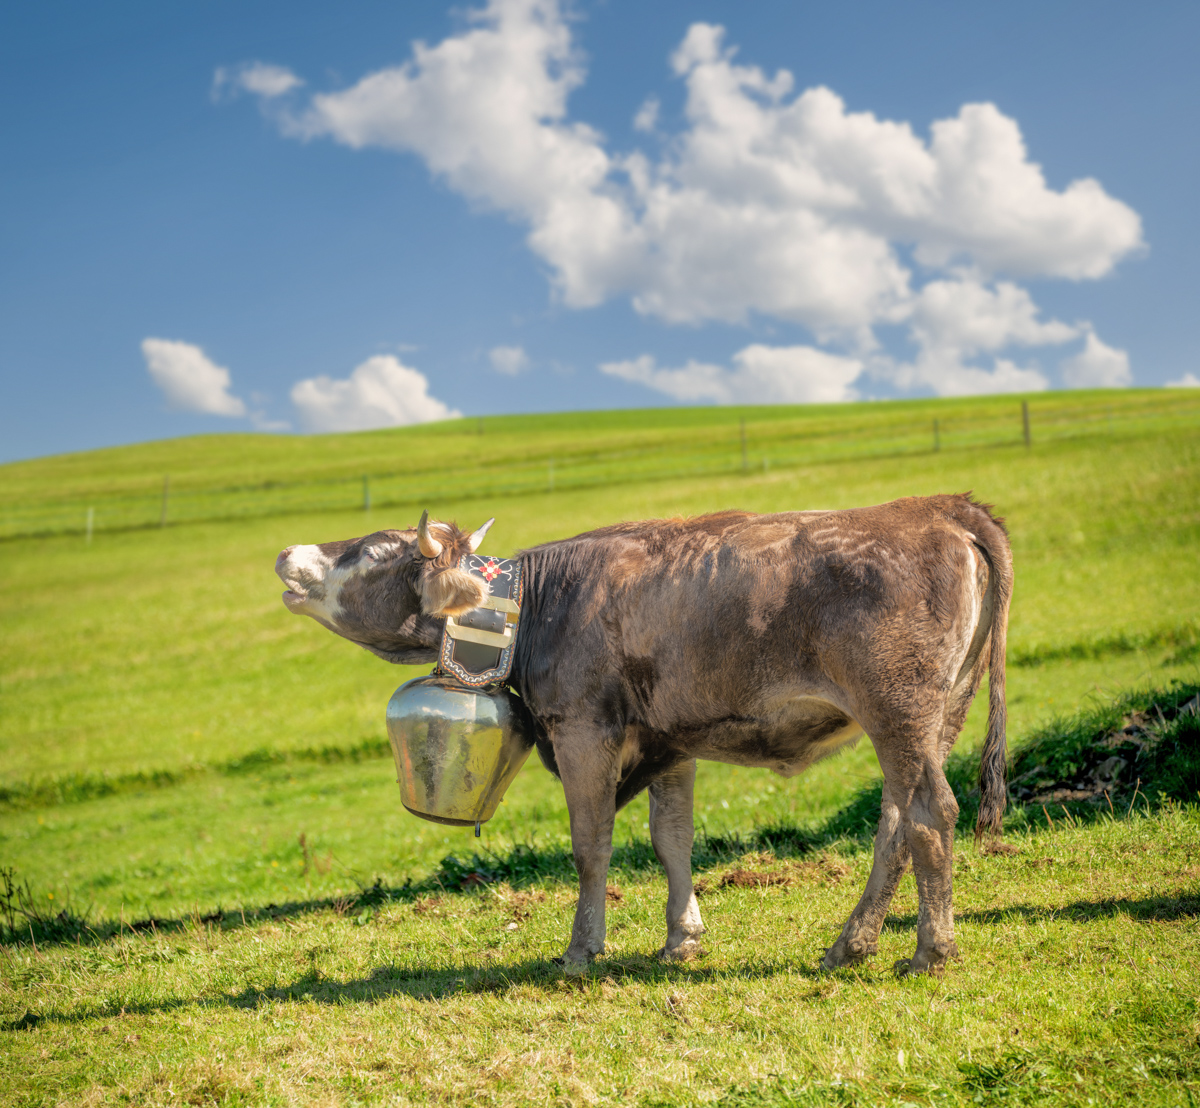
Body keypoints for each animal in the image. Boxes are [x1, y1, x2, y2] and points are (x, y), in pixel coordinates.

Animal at [274, 494, 1011, 975]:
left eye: (371, 551)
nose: (287, 550)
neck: (539, 605)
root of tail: (939, 508)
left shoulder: (583, 731)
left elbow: (590, 846)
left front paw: (581, 950)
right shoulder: (672, 741)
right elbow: (671, 840)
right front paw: (681, 939)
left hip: (898, 709)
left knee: (930, 813)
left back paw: (930, 951)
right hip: (936, 715)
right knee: (896, 822)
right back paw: (851, 944)